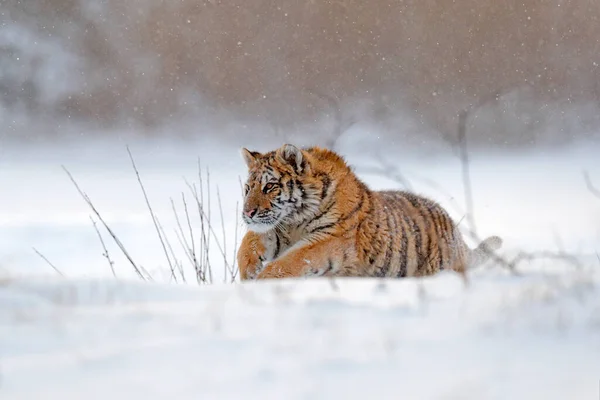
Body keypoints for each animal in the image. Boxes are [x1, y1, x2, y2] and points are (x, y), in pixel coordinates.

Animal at [237, 145, 500, 282]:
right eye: (248, 188)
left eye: (270, 187)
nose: (247, 212)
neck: (294, 220)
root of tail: (458, 237)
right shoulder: (277, 228)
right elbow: (248, 243)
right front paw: (249, 271)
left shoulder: (330, 238)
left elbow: (292, 259)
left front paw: (261, 280)